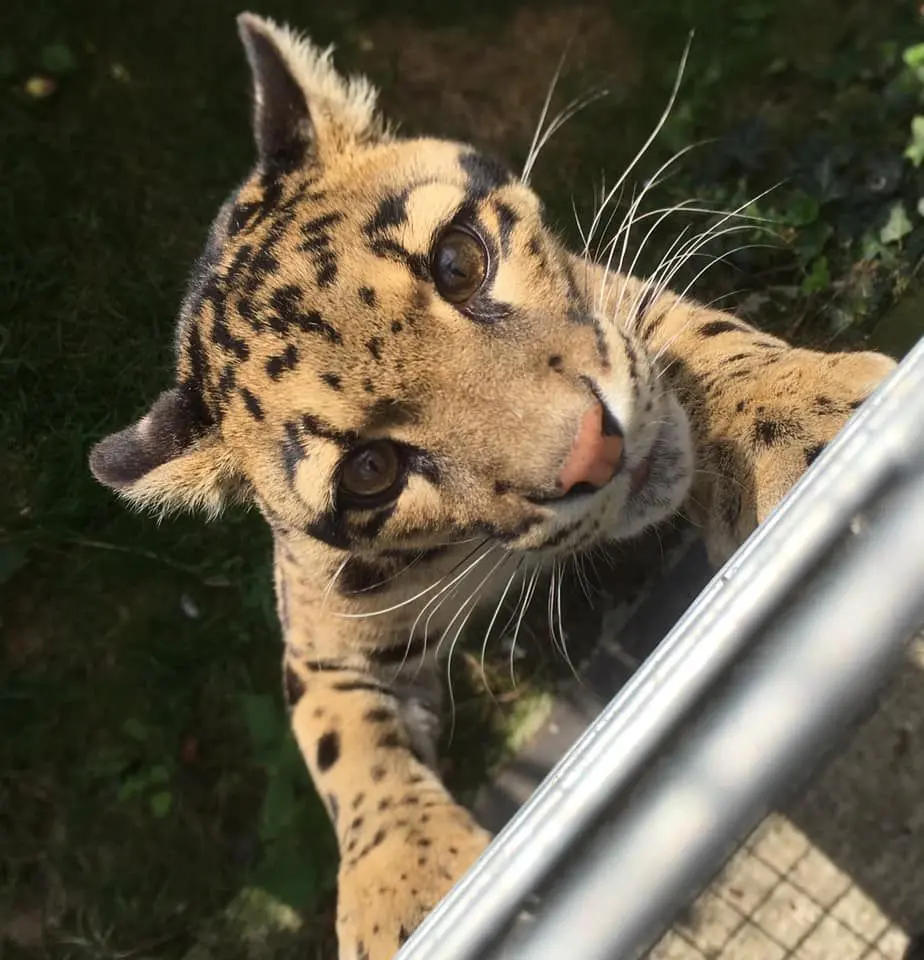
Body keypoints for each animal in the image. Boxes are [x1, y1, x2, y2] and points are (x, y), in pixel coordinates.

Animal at [88, 13, 897, 960]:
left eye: (459, 262)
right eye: (370, 472)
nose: (591, 454)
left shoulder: (614, 299)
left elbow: (694, 341)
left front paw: (798, 413)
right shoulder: (321, 644)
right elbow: (343, 744)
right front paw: (405, 884)